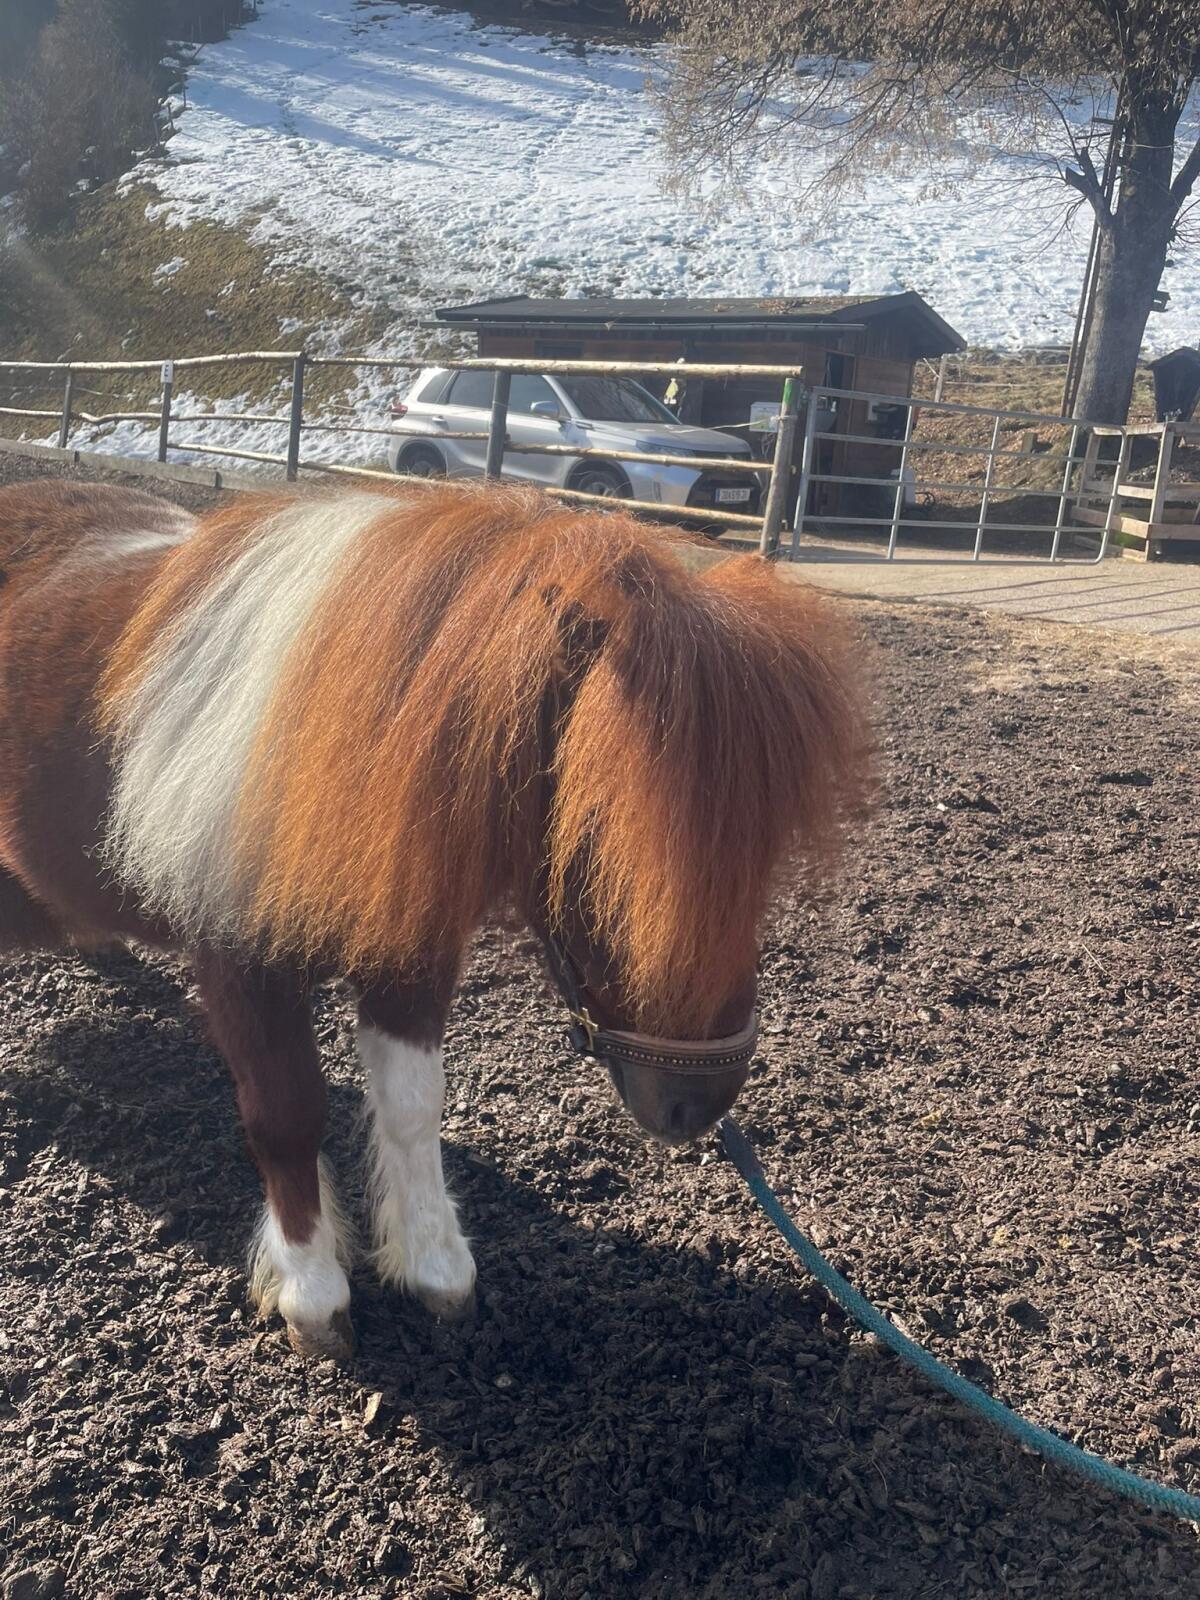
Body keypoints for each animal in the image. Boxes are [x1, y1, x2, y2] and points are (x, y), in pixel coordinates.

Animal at [0, 477, 862, 1360]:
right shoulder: (239, 957)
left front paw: (434, 1265)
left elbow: (414, 1105)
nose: (701, 1103)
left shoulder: (410, 952)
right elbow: (286, 1113)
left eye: (764, 853)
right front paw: (313, 1291)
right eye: (601, 827)